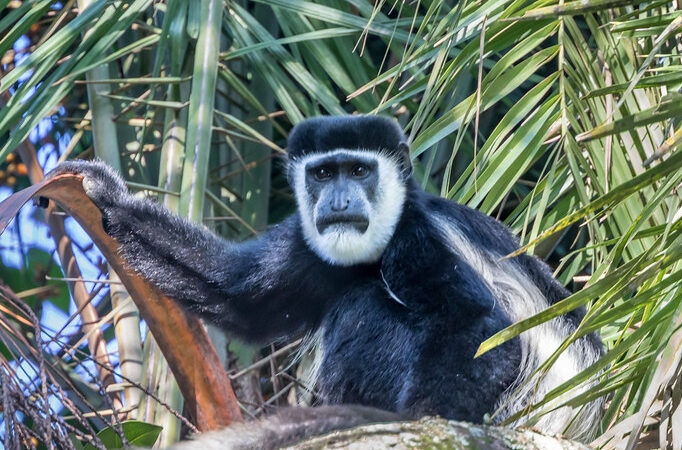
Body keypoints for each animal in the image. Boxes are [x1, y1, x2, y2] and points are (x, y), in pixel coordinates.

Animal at [47, 115, 603, 442]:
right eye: (321, 174)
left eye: (358, 171)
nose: (338, 201)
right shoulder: (311, 245)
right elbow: (242, 295)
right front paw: (107, 196)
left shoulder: (417, 239)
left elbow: (484, 331)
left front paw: (413, 422)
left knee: (367, 307)